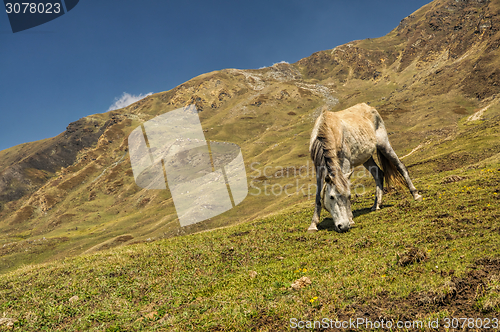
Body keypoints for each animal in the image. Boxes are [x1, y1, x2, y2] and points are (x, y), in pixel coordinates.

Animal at [308, 102, 422, 232]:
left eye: (349, 196)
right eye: (331, 197)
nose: (344, 226)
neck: (327, 130)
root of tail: (370, 107)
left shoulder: (345, 163)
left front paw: (351, 219)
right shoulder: (318, 168)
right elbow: (318, 195)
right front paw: (313, 225)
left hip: (384, 145)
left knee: (401, 166)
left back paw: (416, 195)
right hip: (367, 158)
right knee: (378, 173)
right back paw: (376, 205)